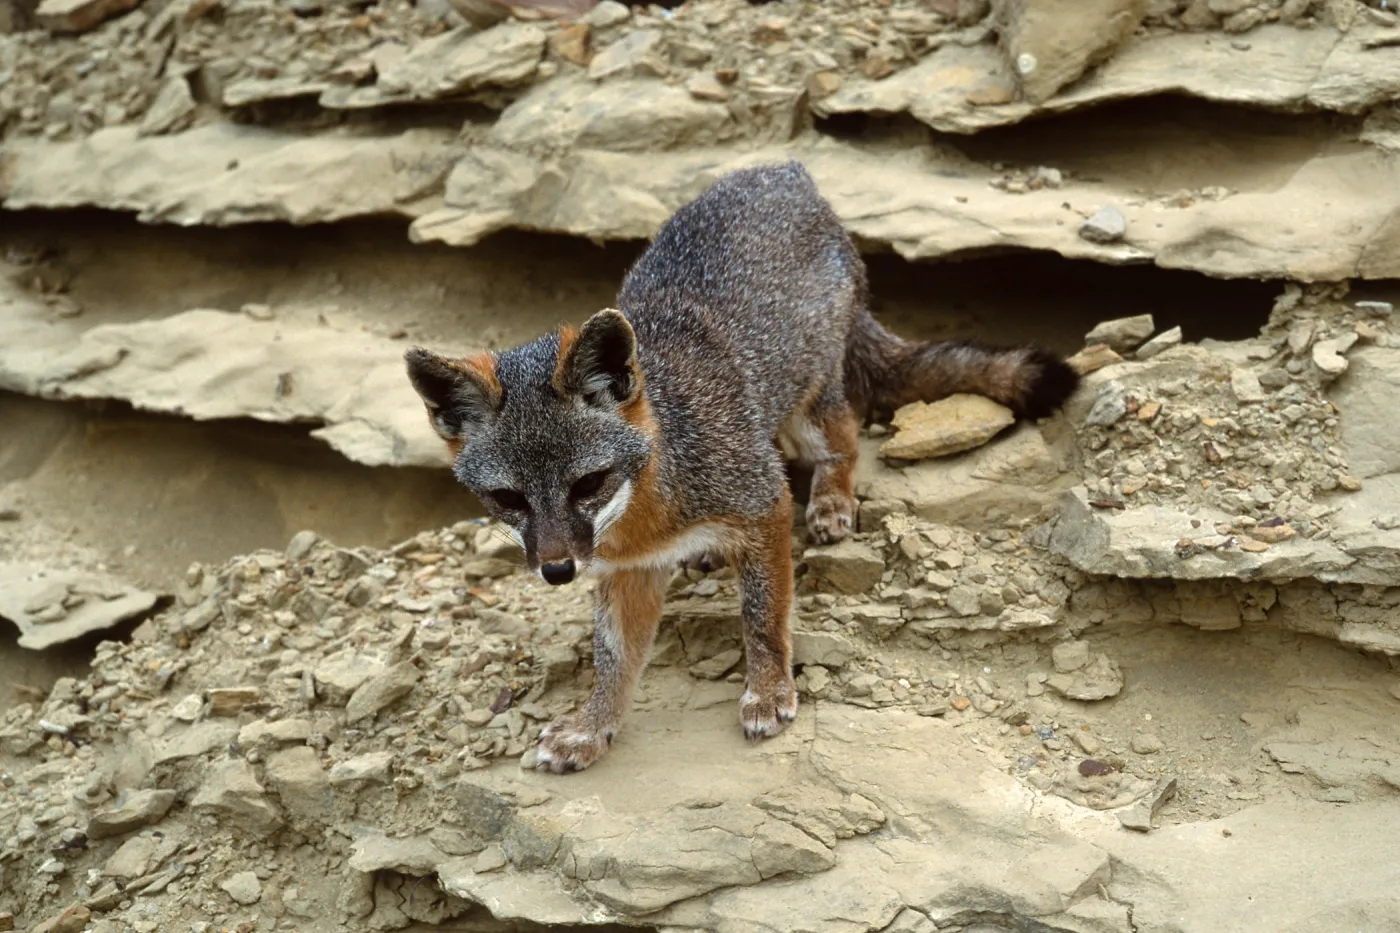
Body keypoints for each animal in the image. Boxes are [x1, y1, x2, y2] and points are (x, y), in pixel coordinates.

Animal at [405, 161, 1079, 773]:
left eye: (588, 483)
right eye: (509, 499)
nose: (557, 570)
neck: (654, 502)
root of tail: (784, 169)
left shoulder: (761, 504)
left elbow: (762, 614)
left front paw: (770, 690)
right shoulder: (629, 570)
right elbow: (614, 659)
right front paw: (592, 728)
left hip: (808, 400)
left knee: (846, 432)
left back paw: (832, 501)